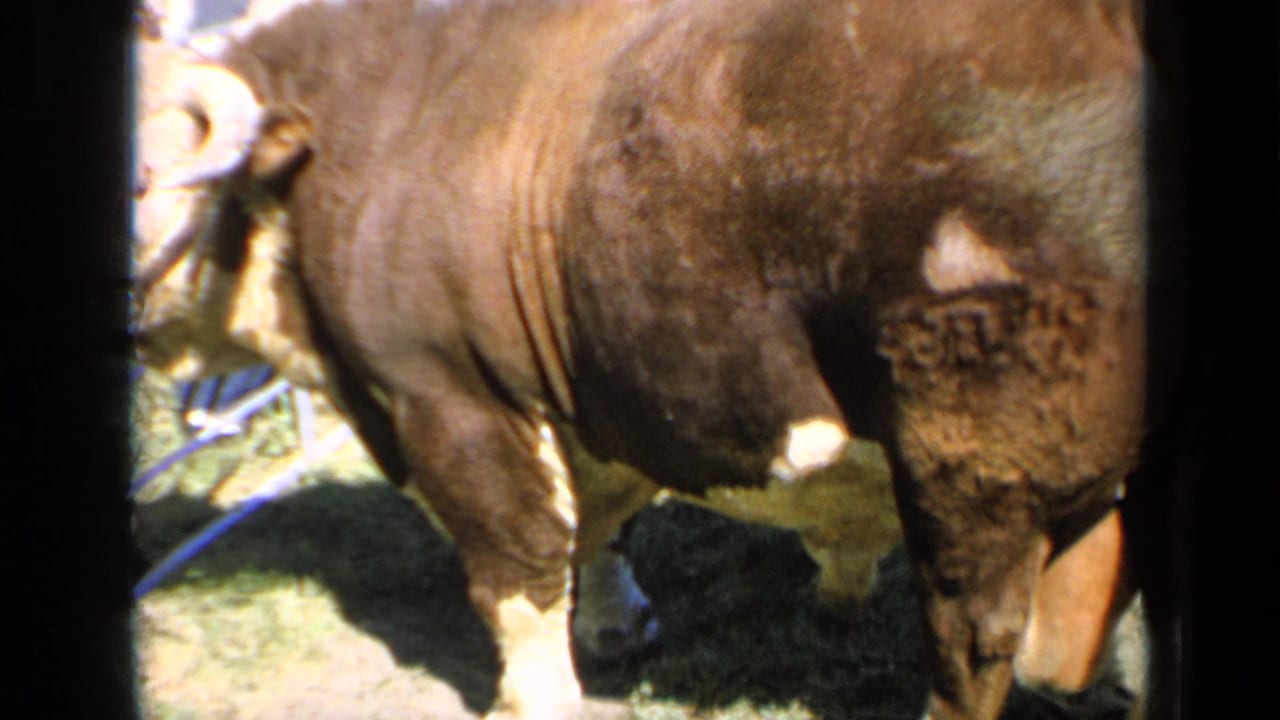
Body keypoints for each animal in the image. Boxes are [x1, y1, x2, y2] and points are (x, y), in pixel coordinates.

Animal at [131, 1, 1149, 718]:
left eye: (141, 175)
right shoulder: (595, 393)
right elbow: (600, 524)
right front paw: (620, 628)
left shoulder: (451, 397)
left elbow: (518, 573)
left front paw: (530, 700)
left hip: (972, 468)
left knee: (973, 642)